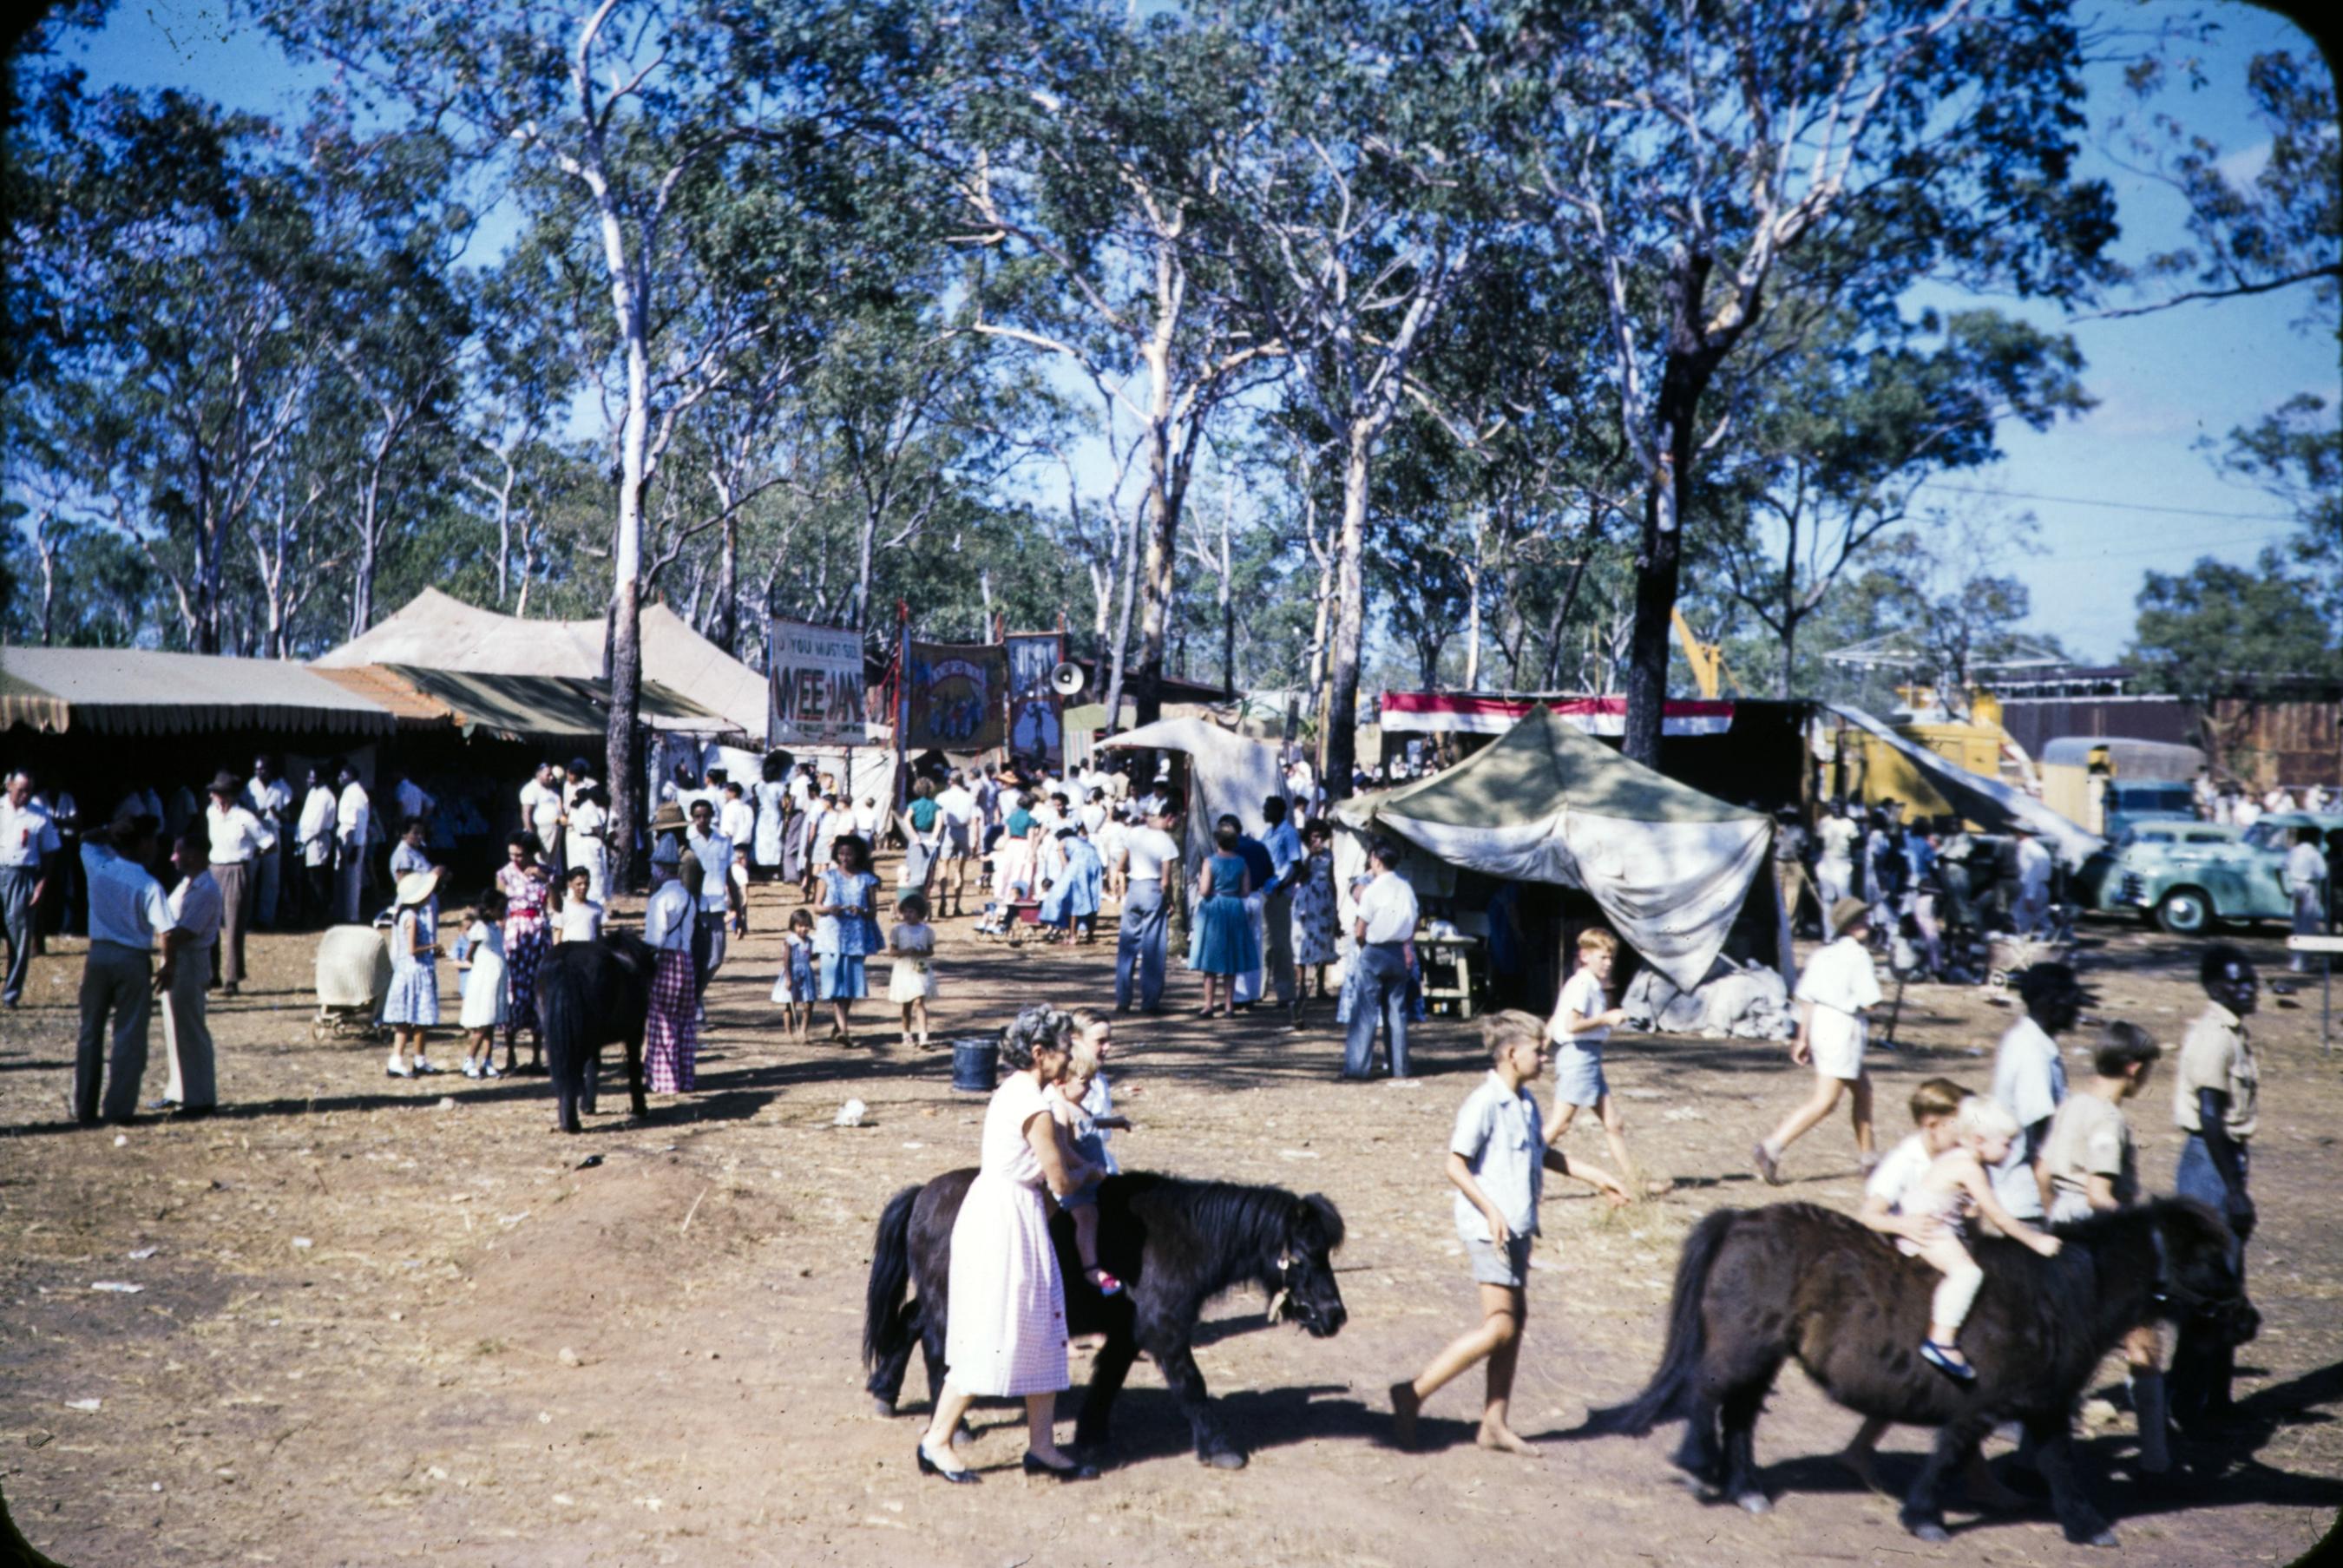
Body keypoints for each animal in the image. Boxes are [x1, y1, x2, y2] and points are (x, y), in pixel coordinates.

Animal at [536, 923, 656, 1129]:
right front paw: (639, 1107)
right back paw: (572, 1123)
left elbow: (591, 1067)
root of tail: (565, 962)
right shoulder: (635, 1032)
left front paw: (587, 1105)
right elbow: (632, 1066)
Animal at [867, 1167, 1349, 1462]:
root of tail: (923, 1195)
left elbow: (1109, 1379)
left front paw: (1091, 1435)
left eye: (1327, 1252)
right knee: (934, 1350)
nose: (1334, 1316)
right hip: (950, 1308)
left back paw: (887, 1392)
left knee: (910, 1324)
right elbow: (1191, 1384)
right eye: (1302, 1255)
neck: (1184, 1238)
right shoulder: (1164, 1330)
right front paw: (1219, 1449)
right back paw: (955, 1426)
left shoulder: (1127, 1333)